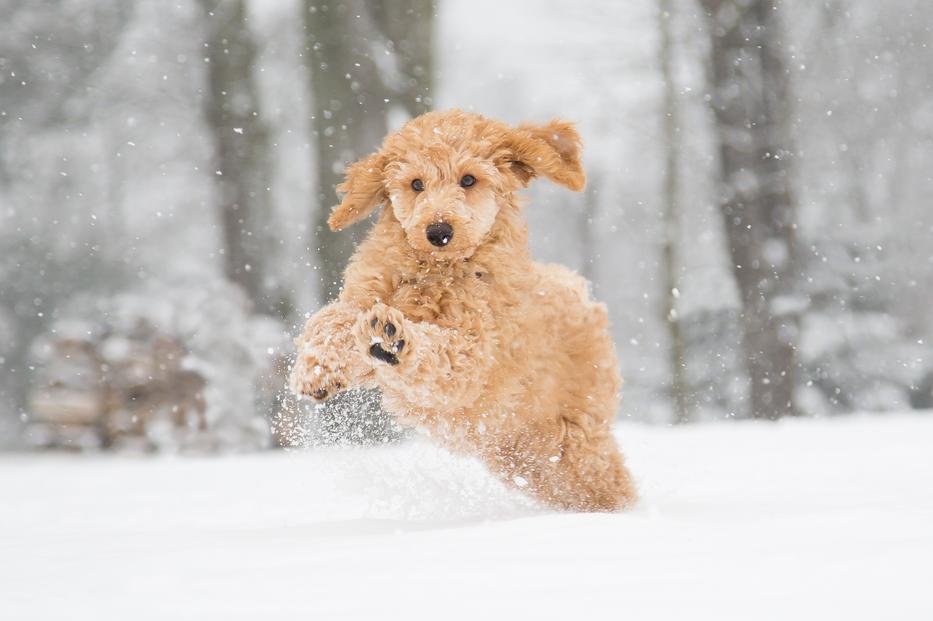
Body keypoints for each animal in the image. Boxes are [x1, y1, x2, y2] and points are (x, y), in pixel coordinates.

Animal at [292, 109, 636, 512]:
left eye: (468, 179)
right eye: (416, 184)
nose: (438, 231)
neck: (436, 272)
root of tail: (580, 292)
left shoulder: (475, 353)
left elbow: (442, 352)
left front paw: (395, 340)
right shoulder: (366, 296)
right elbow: (331, 320)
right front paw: (315, 370)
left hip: (575, 439)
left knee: (608, 482)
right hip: (521, 454)